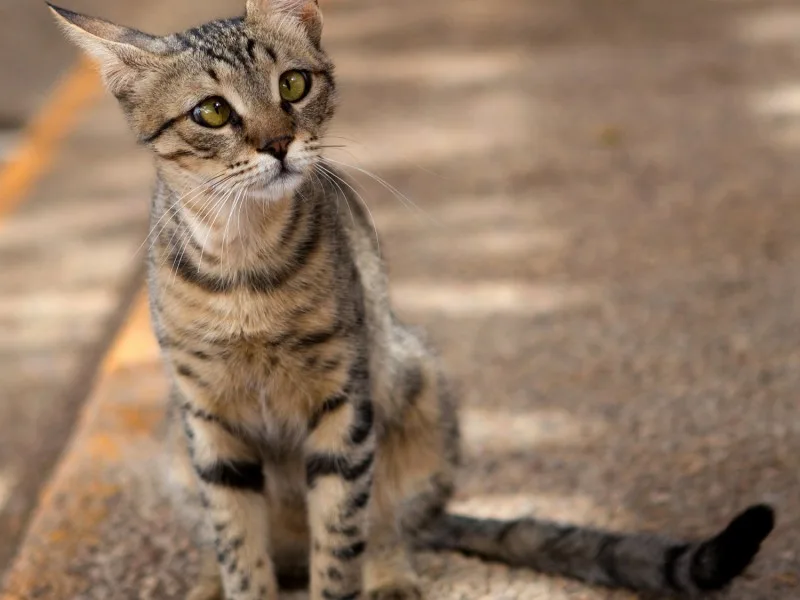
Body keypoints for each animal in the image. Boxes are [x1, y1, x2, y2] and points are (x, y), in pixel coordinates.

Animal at [51, 1, 776, 600]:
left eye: (293, 84)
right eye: (212, 112)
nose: (278, 144)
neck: (244, 264)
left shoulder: (344, 402)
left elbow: (340, 544)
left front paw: (348, 575)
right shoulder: (209, 421)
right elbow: (239, 551)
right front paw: (233, 578)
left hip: (415, 385)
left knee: (389, 524)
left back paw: (391, 577)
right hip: (179, 447)